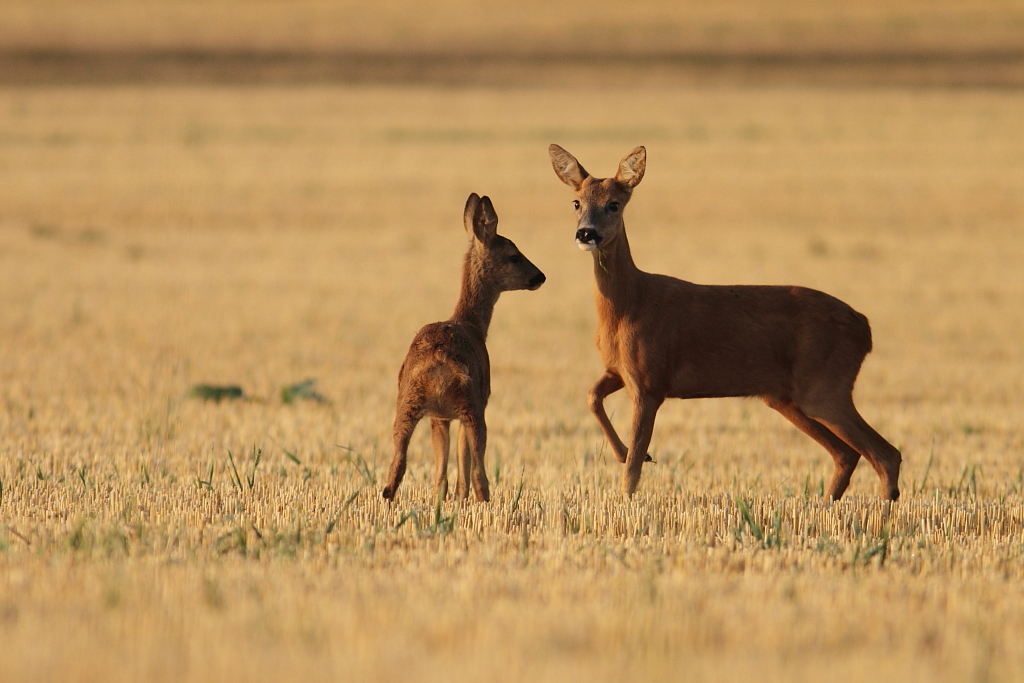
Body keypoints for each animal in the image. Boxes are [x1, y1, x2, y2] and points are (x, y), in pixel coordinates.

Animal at [382, 192, 544, 501]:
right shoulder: (477, 401)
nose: (540, 277)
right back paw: (484, 501)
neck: (472, 324)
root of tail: (438, 363)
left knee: (395, 471)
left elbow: (442, 472)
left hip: (406, 403)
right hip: (472, 404)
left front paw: (448, 501)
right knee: (480, 474)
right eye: (514, 255)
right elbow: (463, 461)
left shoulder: (440, 416)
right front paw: (461, 500)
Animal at [552, 144, 897, 499]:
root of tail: (865, 328)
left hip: (825, 385)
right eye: (576, 202)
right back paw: (827, 505)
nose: (586, 233)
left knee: (885, 454)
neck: (628, 306)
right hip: (787, 396)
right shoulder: (619, 370)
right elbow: (592, 397)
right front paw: (624, 453)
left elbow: (632, 469)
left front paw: (630, 492)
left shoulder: (650, 382)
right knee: (848, 453)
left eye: (614, 204)